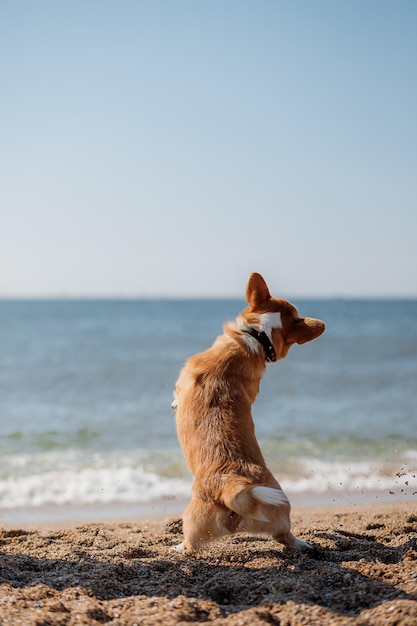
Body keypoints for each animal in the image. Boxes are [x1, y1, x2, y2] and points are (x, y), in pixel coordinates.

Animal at [171, 272, 324, 552]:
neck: (258, 337)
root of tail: (233, 486)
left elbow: (176, 393)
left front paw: (175, 404)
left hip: (192, 519)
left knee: (191, 544)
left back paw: (177, 547)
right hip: (279, 506)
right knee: (285, 535)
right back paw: (304, 543)